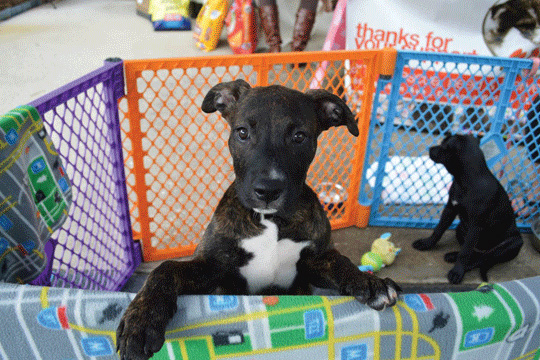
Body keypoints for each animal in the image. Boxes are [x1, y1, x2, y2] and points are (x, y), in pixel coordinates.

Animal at [115, 81, 400, 360]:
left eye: (299, 136)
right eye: (242, 133)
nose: (268, 190)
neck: (270, 220)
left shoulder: (313, 264)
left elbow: (340, 261)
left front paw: (370, 282)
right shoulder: (212, 269)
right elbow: (165, 269)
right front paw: (140, 321)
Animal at [414, 133, 524, 284]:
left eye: (444, 145)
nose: (430, 149)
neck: (466, 181)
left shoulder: (475, 226)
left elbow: (465, 252)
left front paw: (457, 272)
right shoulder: (450, 209)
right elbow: (439, 229)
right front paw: (426, 243)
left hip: (511, 243)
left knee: (483, 258)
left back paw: (464, 266)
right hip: (460, 228)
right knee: (475, 252)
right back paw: (453, 255)